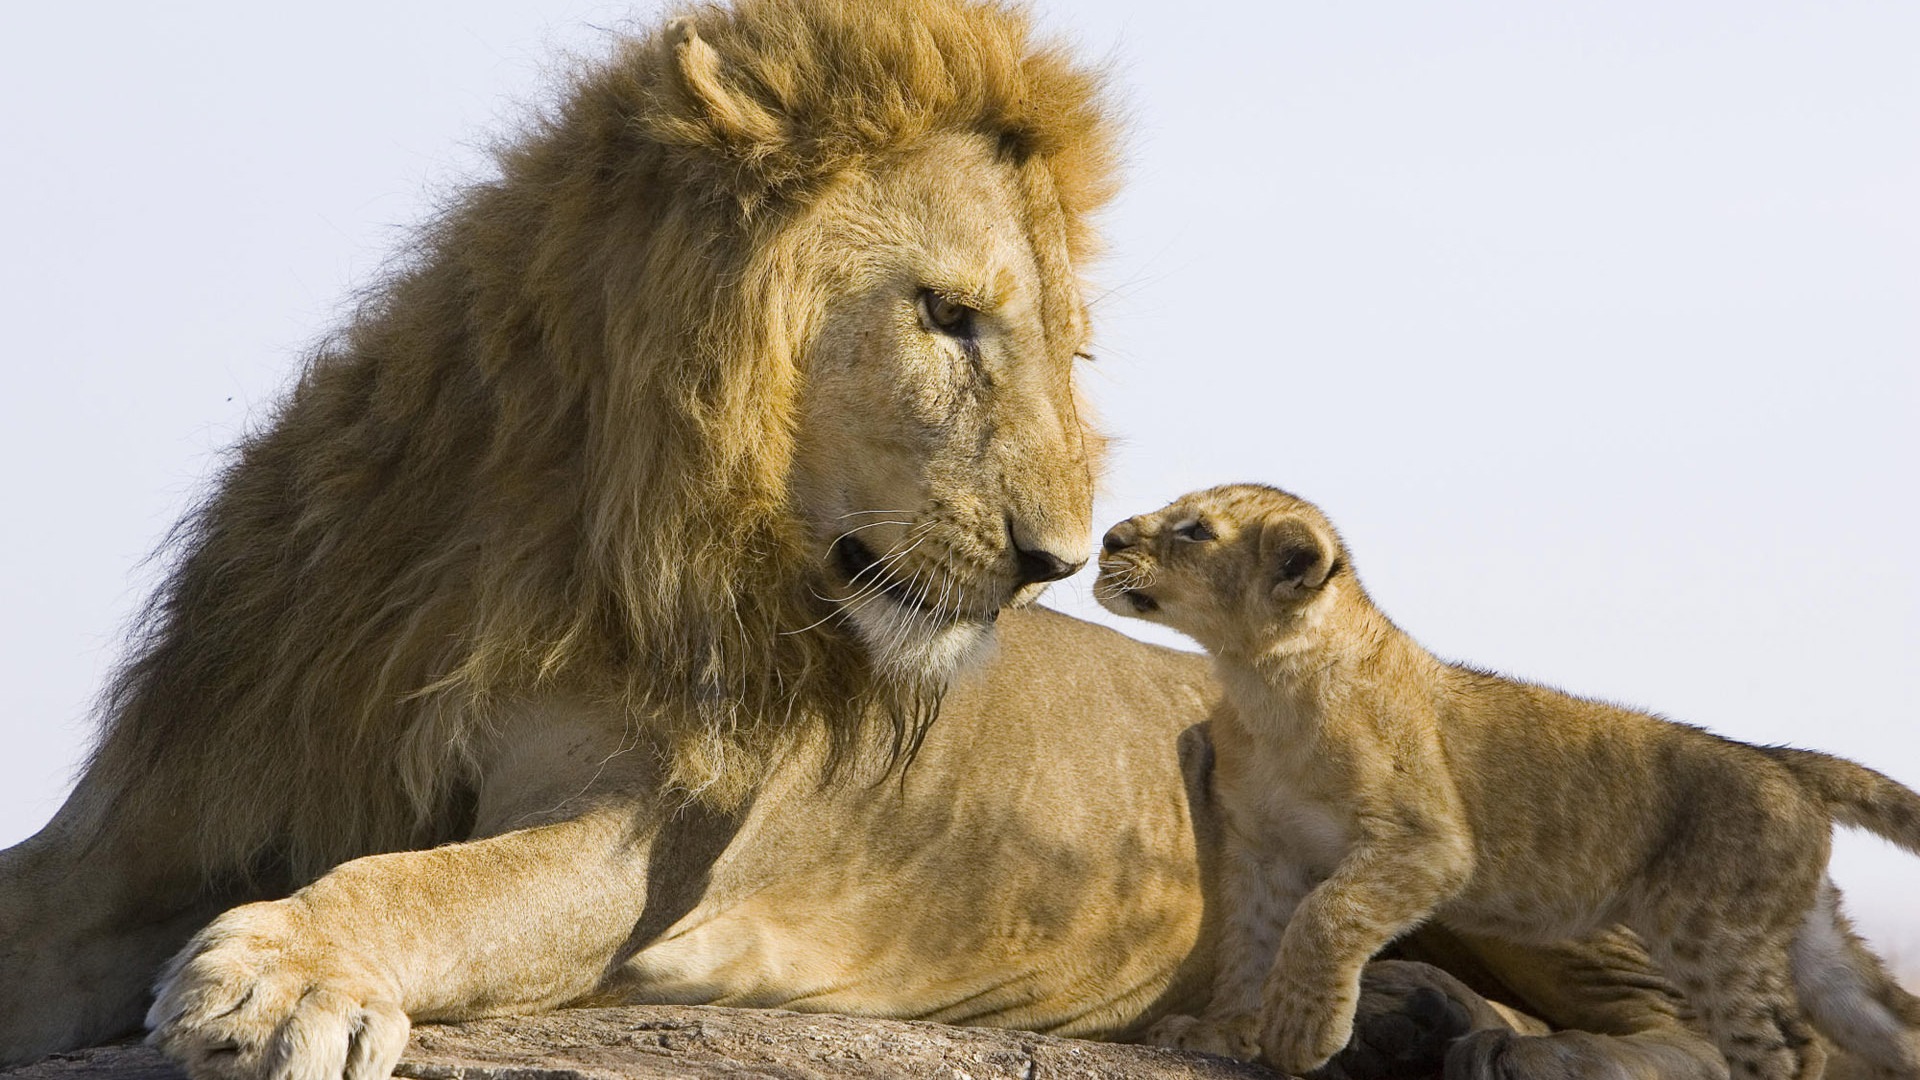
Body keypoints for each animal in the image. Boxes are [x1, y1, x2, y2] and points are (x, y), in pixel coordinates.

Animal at [0, 6, 1735, 1076]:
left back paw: (1515, 1044)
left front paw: (287, 969)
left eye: (1064, 350)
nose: (1056, 558)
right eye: (948, 318)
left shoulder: (636, 842)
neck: (540, 528)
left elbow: (437, 883)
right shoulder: (178, 805)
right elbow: (42, 906)